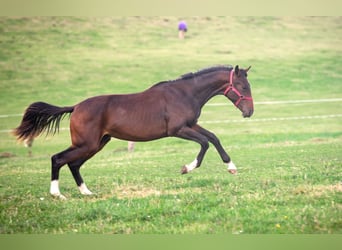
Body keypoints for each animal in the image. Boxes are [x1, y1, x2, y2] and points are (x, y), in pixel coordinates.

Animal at [13, 65, 254, 199]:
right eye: (243, 87)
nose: (249, 112)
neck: (184, 93)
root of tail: (76, 107)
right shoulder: (178, 130)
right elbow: (205, 143)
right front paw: (187, 168)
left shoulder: (191, 125)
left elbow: (213, 138)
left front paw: (231, 167)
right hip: (86, 144)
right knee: (58, 159)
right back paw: (57, 194)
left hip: (96, 144)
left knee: (73, 164)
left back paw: (86, 192)